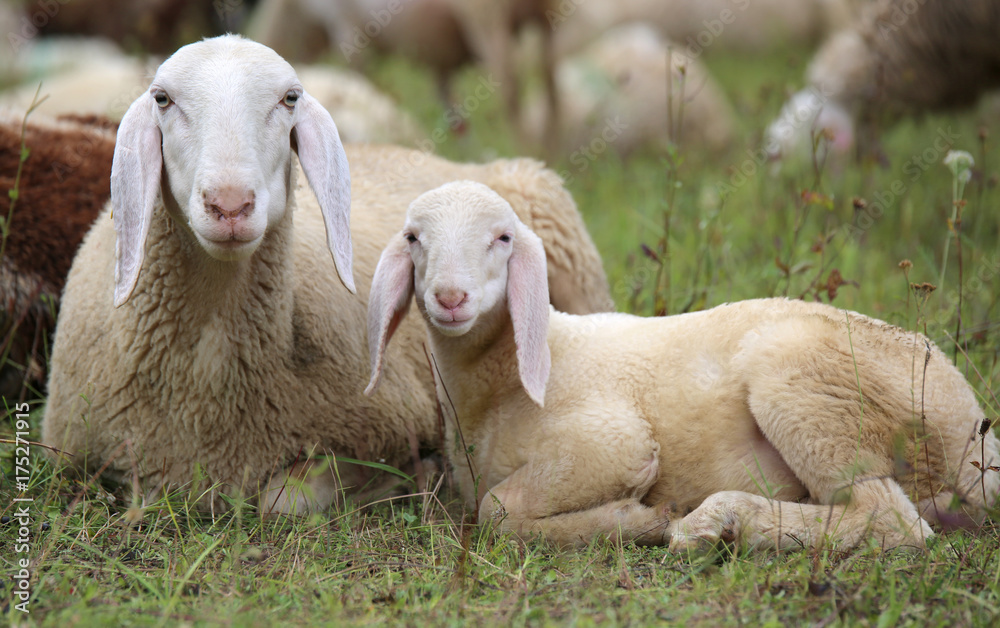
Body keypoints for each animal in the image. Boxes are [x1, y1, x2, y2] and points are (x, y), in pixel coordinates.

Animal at [41, 35, 611, 515]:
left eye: (289, 98)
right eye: (162, 99)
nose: (230, 205)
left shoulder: (386, 423)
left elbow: (283, 500)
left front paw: (408, 478)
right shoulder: (74, 453)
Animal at [366, 180, 999, 551]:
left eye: (502, 238)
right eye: (414, 237)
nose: (450, 297)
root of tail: (971, 426)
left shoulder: (612, 439)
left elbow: (497, 511)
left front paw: (631, 521)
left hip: (806, 387)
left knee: (891, 520)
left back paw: (716, 522)